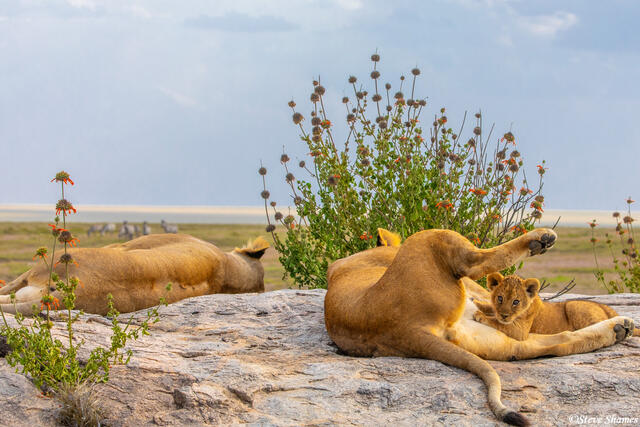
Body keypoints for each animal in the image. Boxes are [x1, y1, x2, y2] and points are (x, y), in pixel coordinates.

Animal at [472, 272, 640, 341]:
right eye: (500, 298)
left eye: (516, 302)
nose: (504, 315)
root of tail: (607, 307)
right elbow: (489, 308)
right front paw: (476, 302)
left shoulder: (519, 331)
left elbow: (497, 322)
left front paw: (480, 315)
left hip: (574, 306)